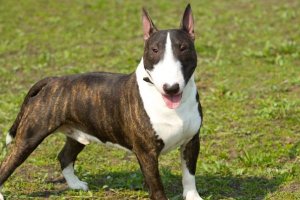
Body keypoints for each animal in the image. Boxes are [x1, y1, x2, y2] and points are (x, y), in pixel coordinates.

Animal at [0, 4, 203, 200]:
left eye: (183, 47)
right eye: (154, 50)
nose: (171, 88)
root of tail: (53, 80)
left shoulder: (192, 142)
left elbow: (189, 176)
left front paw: (193, 197)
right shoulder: (147, 152)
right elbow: (157, 187)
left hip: (78, 132)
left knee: (64, 156)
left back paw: (76, 185)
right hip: (29, 137)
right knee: (8, 164)